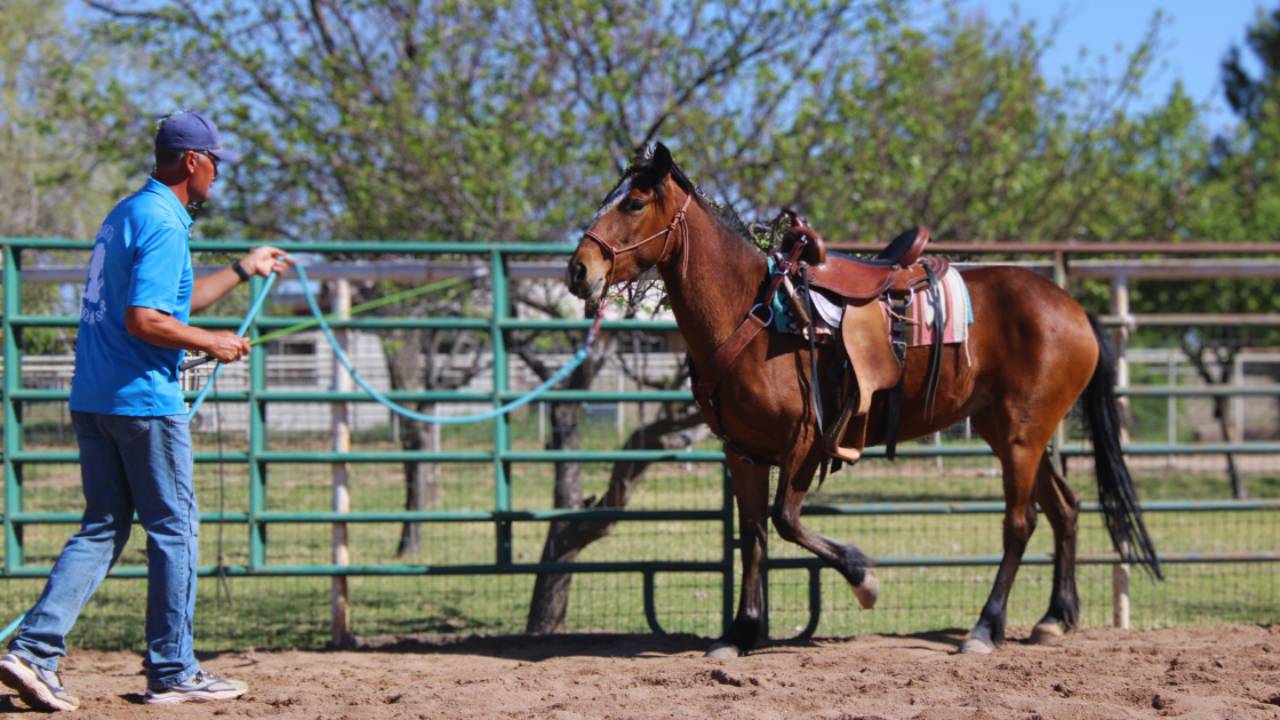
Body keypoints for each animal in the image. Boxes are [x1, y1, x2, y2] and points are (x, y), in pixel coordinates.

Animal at [566, 143, 1160, 657]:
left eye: (634, 202)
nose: (578, 271)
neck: (750, 315)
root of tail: (1073, 308)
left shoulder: (806, 441)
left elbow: (786, 521)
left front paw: (864, 577)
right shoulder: (743, 450)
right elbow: (754, 535)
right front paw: (740, 633)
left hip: (1022, 436)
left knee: (1021, 523)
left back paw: (985, 629)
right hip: (1012, 432)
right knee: (1065, 507)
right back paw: (1055, 618)